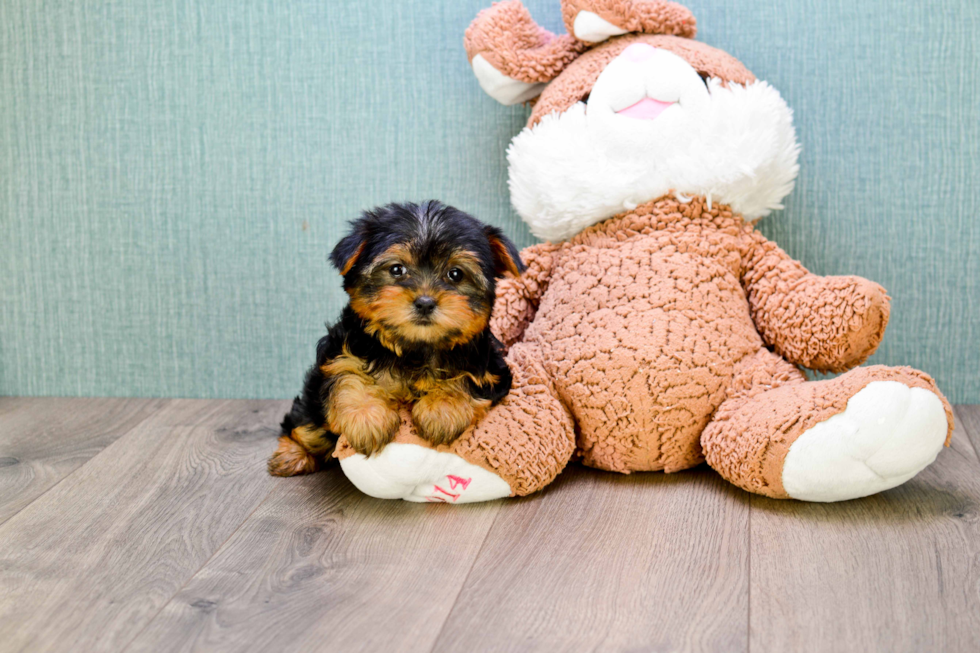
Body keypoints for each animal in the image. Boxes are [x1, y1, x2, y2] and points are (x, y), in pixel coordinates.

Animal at [266, 197, 528, 474]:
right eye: (396, 269)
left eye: (455, 274)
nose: (425, 302)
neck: (415, 347)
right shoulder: (341, 350)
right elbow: (346, 373)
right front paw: (366, 417)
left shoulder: (490, 367)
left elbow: (468, 378)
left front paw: (442, 408)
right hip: (313, 411)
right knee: (304, 426)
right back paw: (292, 454)